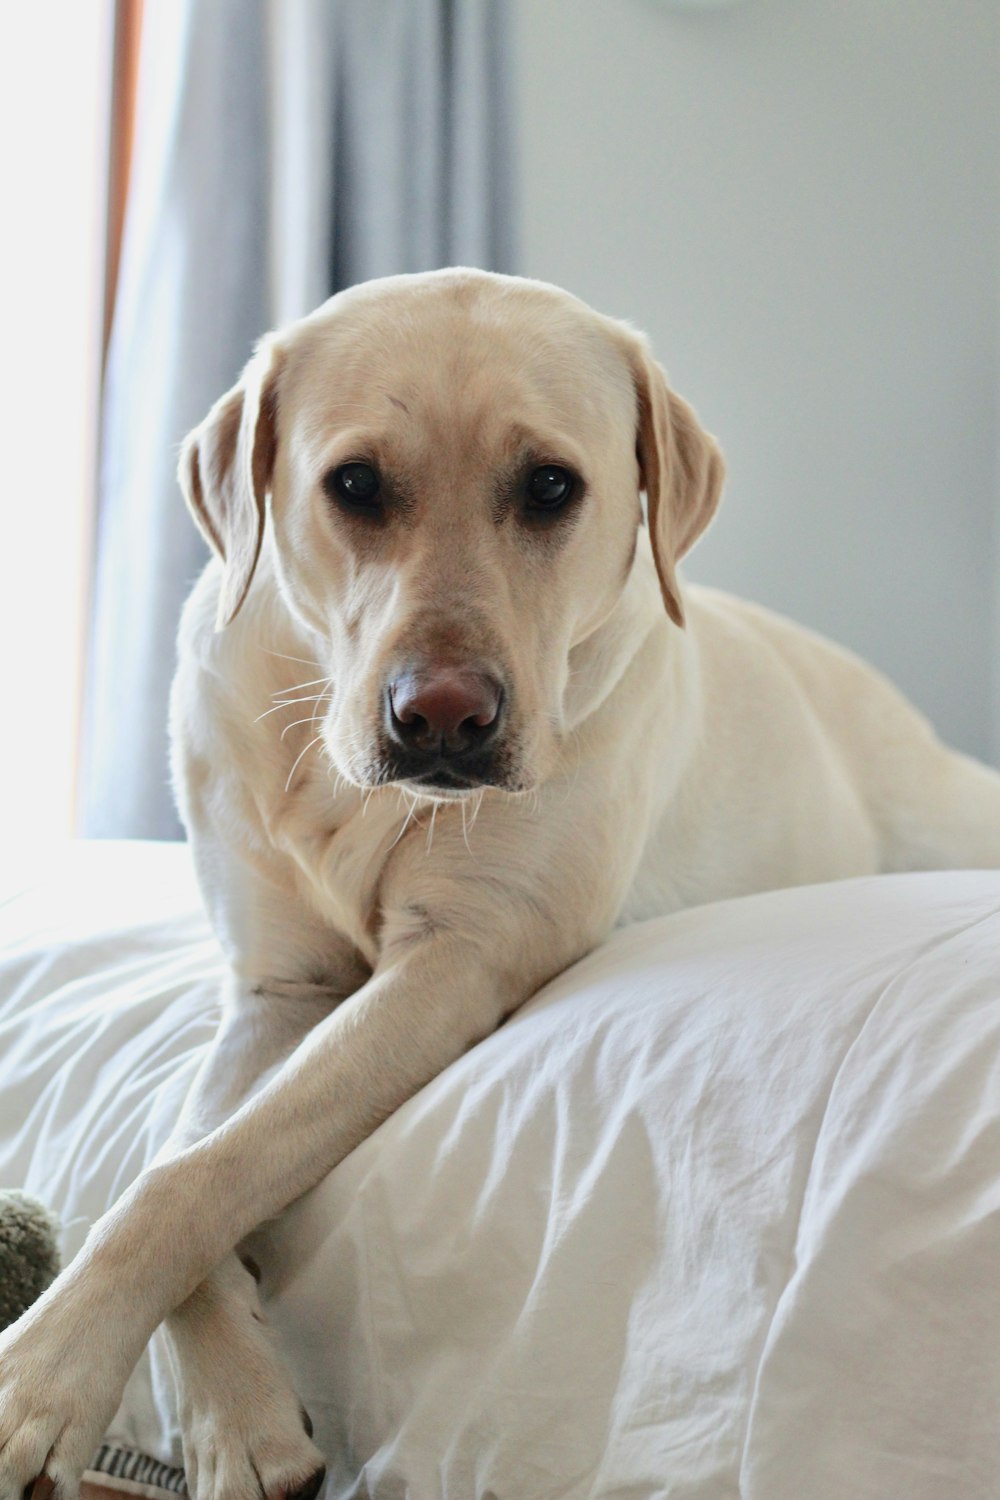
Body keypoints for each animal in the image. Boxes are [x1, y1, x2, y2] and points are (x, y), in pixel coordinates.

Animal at [1, 270, 1000, 1500]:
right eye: (354, 485)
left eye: (551, 487)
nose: (442, 717)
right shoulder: (277, 990)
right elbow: (171, 1161)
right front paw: (235, 1414)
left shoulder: (459, 959)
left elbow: (203, 1174)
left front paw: (44, 1376)